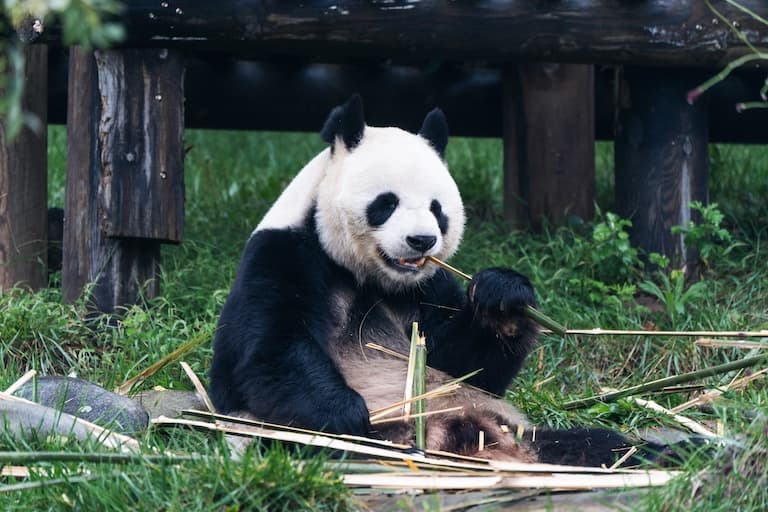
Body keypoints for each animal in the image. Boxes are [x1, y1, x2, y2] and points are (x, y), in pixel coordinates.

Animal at [210, 95, 653, 466]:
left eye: (437, 209)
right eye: (386, 203)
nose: (421, 240)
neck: (367, 275)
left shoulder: (428, 288)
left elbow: (462, 365)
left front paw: (502, 296)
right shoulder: (283, 256)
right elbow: (271, 352)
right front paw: (347, 416)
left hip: (516, 431)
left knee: (597, 444)